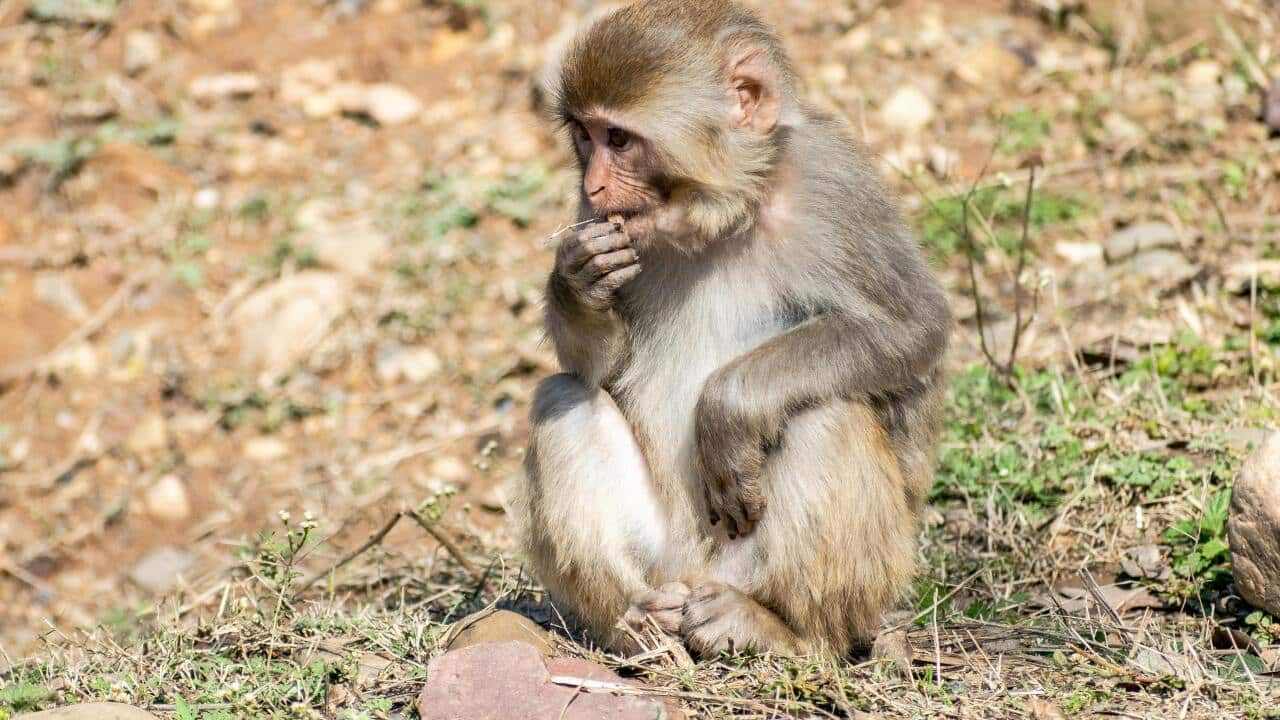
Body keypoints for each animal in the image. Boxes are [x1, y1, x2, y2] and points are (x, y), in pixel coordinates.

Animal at [511, 0, 951, 657]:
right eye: (584, 136)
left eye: (619, 139)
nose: (593, 184)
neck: (726, 216)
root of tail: (697, 571)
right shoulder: (601, 221)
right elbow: (596, 369)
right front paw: (577, 279)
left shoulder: (834, 186)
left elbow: (914, 327)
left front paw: (727, 411)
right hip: (665, 558)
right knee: (562, 396)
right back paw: (635, 624)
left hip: (814, 570)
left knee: (828, 414)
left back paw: (783, 628)